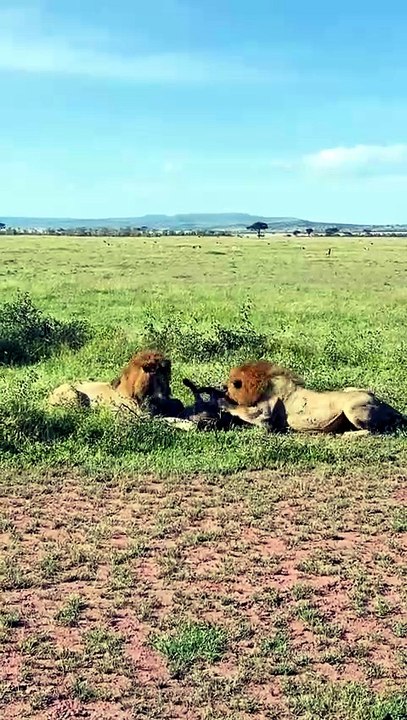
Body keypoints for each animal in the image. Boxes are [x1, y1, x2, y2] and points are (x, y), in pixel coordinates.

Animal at [220, 360, 406, 434]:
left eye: (229, 387)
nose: (223, 388)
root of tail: (391, 409)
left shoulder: (266, 419)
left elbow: (241, 410)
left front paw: (223, 403)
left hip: (351, 408)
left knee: (372, 431)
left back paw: (347, 434)